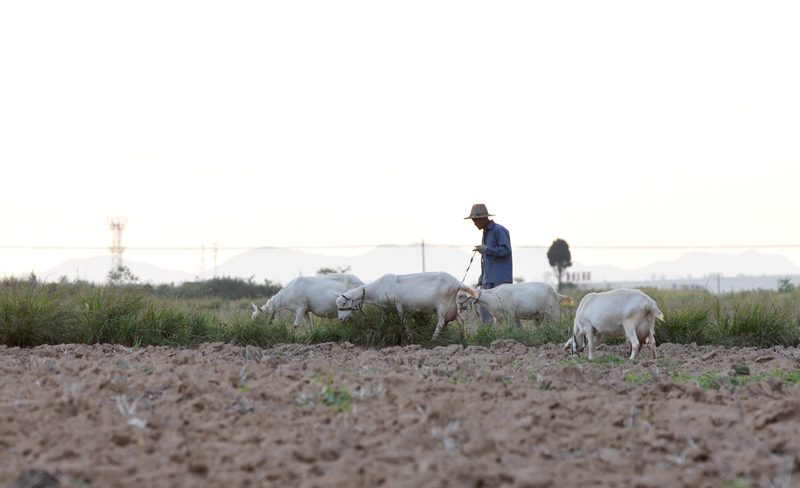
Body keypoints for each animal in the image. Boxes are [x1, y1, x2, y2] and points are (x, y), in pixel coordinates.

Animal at [334, 270, 478, 340]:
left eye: (344, 302)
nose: (340, 319)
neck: (376, 288)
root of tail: (457, 282)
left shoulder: (398, 305)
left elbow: (402, 320)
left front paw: (409, 336)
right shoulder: (386, 309)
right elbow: (382, 323)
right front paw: (378, 335)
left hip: (442, 305)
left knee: (441, 323)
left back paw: (433, 339)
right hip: (452, 305)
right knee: (460, 319)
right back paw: (463, 339)